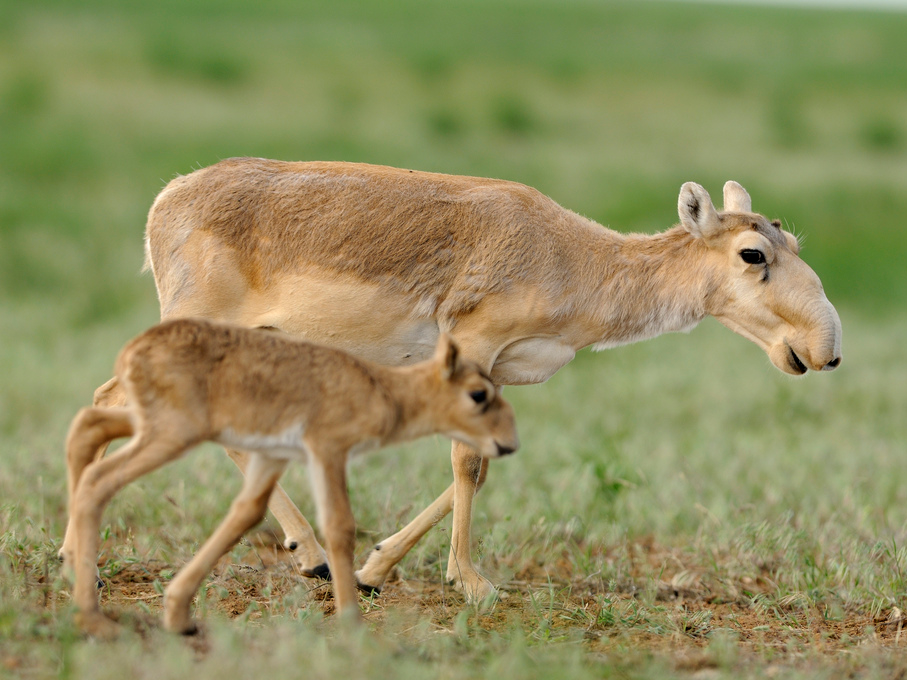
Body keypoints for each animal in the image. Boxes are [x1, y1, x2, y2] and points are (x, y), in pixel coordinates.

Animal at [63, 318, 516, 636]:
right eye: (479, 394)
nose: (509, 443)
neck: (380, 389)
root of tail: (135, 348)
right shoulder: (327, 452)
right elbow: (340, 527)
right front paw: (352, 620)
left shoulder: (274, 458)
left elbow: (246, 514)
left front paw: (177, 613)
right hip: (171, 434)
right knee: (98, 478)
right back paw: (92, 615)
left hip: (153, 426)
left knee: (88, 425)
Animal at [78, 158, 844, 600]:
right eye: (752, 253)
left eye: (791, 240)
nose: (825, 349)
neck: (573, 257)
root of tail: (166, 199)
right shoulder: (472, 348)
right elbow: (466, 462)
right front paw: (470, 582)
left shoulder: (498, 373)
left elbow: (483, 463)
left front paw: (374, 568)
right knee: (110, 402)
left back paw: (314, 558)